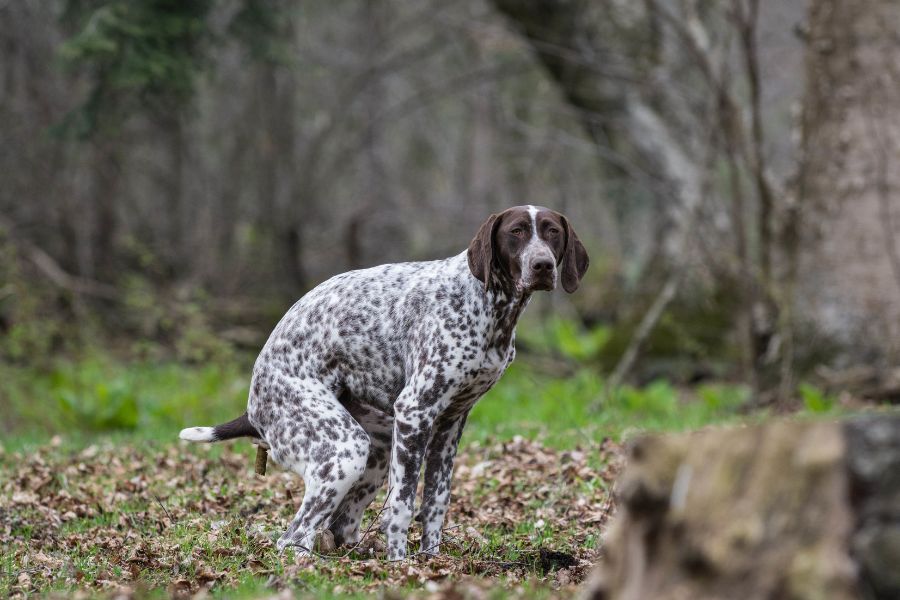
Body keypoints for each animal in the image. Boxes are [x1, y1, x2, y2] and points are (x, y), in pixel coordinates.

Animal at [183, 207, 592, 564]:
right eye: (516, 231)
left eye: (552, 232)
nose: (543, 265)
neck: (488, 305)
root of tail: (253, 405)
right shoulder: (415, 412)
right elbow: (402, 506)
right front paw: (400, 566)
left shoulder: (449, 425)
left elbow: (435, 504)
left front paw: (430, 561)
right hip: (344, 451)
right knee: (294, 538)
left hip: (377, 450)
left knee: (339, 527)